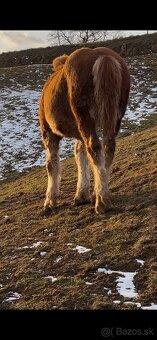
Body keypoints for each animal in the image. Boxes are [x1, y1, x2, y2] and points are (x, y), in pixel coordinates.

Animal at [38, 46, 131, 214]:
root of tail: (102, 56)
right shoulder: (80, 133)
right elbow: (81, 156)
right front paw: (82, 194)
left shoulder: (48, 132)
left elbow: (52, 164)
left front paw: (50, 201)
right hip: (113, 119)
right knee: (107, 148)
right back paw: (99, 193)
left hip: (85, 120)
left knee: (94, 147)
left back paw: (102, 201)